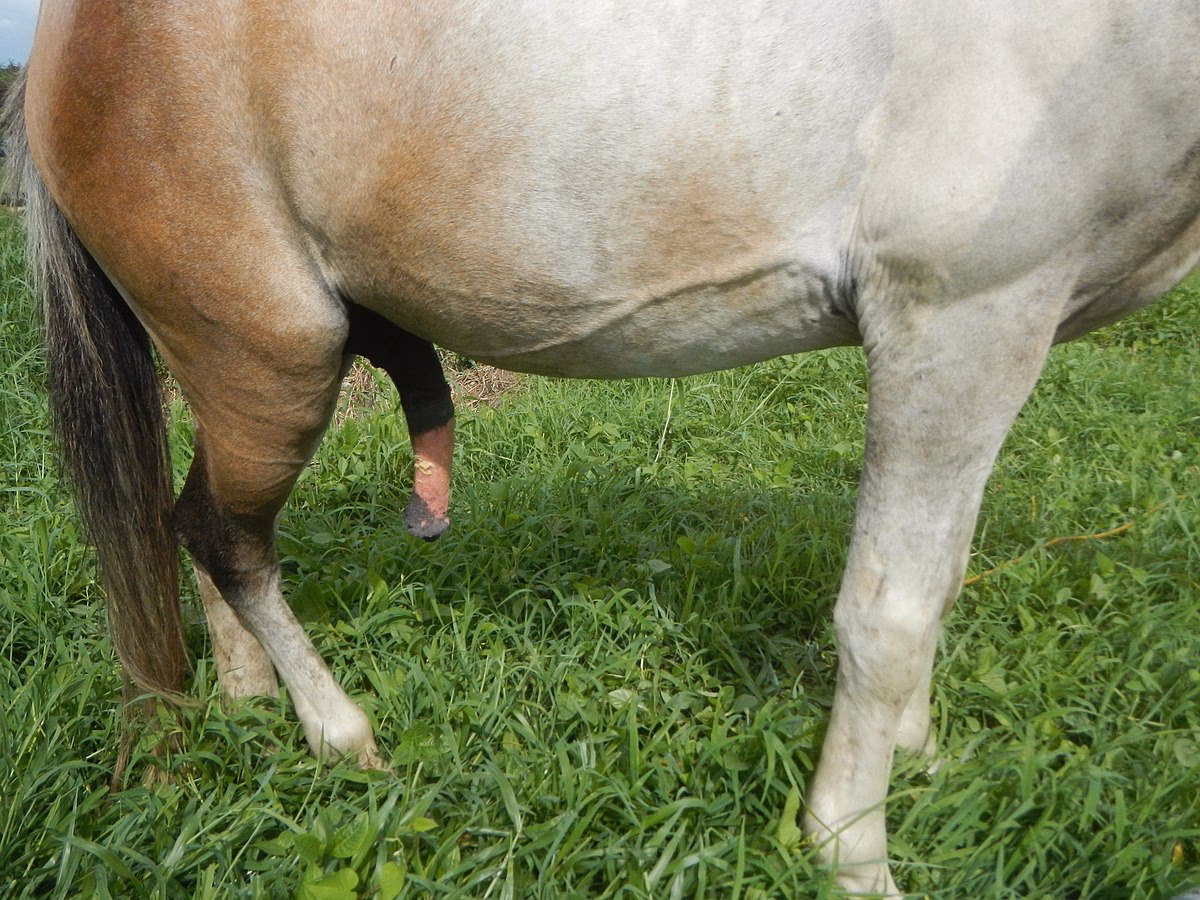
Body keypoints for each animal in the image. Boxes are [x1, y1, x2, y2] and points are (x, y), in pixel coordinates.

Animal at [8, 1, 1199, 894]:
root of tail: (69, 32)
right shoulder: (957, 319)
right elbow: (889, 614)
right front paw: (851, 851)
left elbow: (936, 583)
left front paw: (919, 758)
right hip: (275, 356)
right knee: (224, 533)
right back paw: (340, 732)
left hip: (225, 362)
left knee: (202, 525)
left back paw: (253, 701)